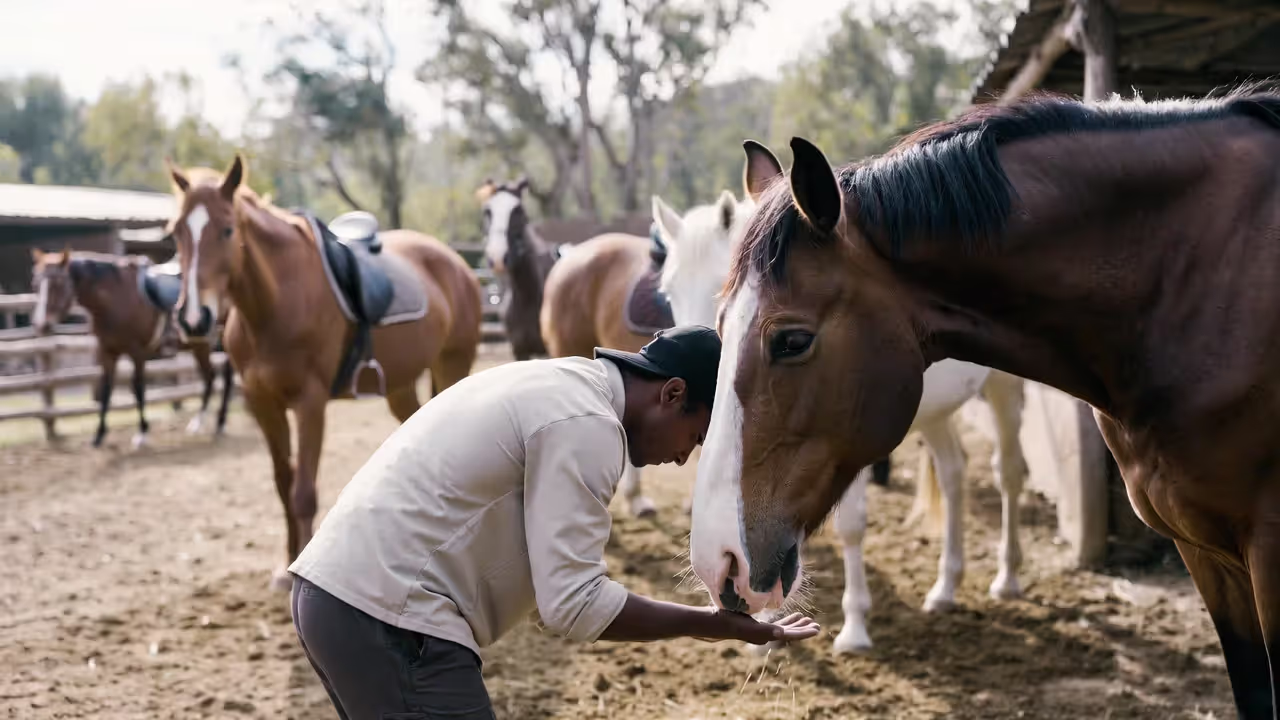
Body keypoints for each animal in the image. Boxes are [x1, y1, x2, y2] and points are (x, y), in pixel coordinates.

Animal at [29, 248, 233, 448]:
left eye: (58, 283)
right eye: (35, 284)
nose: (41, 324)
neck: (114, 298)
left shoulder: (137, 352)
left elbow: (138, 388)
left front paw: (142, 433)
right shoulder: (107, 352)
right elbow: (106, 390)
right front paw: (99, 435)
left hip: (209, 343)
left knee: (217, 377)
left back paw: (212, 422)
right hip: (201, 345)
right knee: (212, 377)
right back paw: (204, 422)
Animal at [167, 154, 483, 590]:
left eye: (228, 229)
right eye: (176, 232)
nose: (194, 318)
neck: (274, 302)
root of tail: (457, 264)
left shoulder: (310, 402)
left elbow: (304, 492)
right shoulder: (263, 404)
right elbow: (284, 486)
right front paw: (283, 567)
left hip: (453, 364)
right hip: (401, 387)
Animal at [653, 173, 1029, 655]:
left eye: (719, 281)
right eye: (668, 291)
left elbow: (848, 527)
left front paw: (855, 626)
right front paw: (763, 629)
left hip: (1003, 389)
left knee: (1008, 472)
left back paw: (1008, 577)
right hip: (934, 414)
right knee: (953, 472)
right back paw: (946, 586)